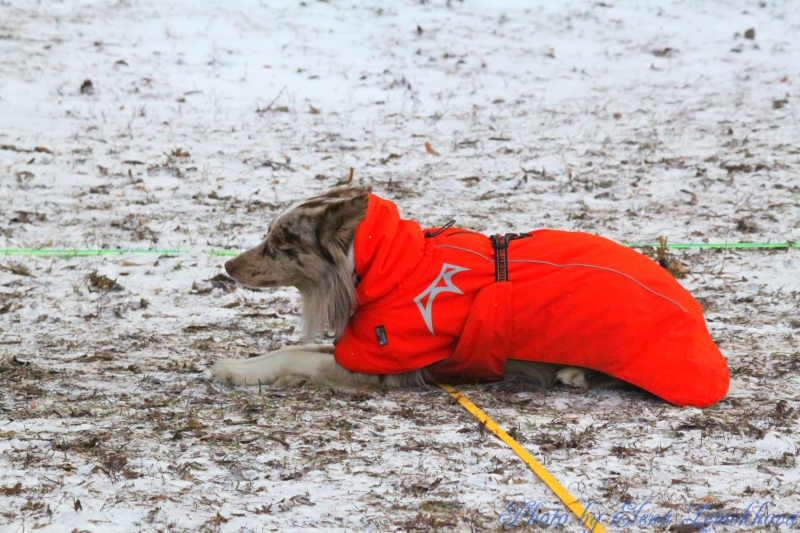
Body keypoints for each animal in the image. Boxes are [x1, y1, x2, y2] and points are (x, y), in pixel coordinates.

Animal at [213, 186, 729, 407]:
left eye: (282, 243)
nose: (227, 267)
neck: (383, 265)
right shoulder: (359, 349)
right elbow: (287, 350)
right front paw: (240, 366)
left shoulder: (384, 367)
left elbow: (295, 357)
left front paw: (238, 373)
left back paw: (575, 373)